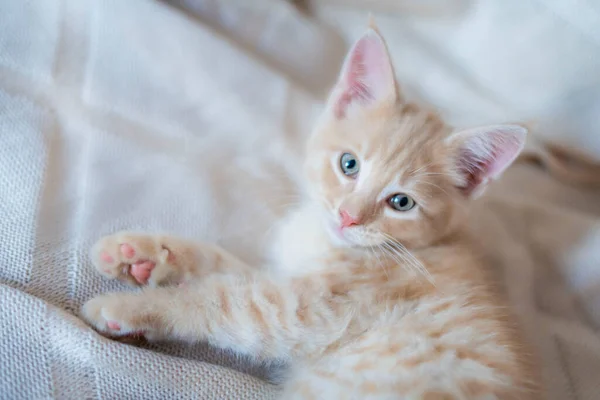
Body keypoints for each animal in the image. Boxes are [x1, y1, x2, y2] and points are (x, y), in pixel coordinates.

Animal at [83, 22, 544, 400]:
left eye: (401, 202)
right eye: (349, 164)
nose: (348, 217)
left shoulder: (313, 307)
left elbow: (225, 300)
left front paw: (130, 308)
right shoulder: (288, 273)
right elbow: (226, 266)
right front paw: (141, 253)